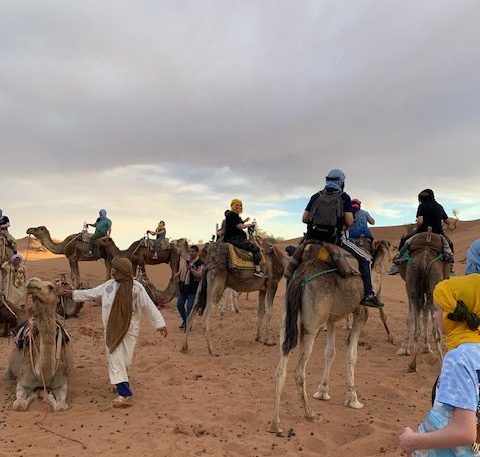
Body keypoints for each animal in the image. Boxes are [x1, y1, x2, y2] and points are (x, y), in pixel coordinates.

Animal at [3, 276, 72, 412]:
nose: (31, 281)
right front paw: (37, 393)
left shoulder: (62, 382)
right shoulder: (22, 382)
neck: (44, 375)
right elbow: (19, 404)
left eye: (51, 286)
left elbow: (61, 406)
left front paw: (44, 393)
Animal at [268, 239, 396, 434]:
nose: (400, 253)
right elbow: (352, 356)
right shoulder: (361, 312)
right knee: (299, 371)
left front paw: (322, 392)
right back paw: (310, 414)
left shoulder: (331, 318)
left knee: (280, 369)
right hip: (312, 325)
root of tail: (298, 279)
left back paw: (276, 424)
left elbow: (330, 353)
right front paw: (353, 399)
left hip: (287, 321)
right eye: (394, 248)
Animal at [396, 232, 448, 370]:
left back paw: (413, 364)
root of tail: (424, 258)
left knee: (419, 324)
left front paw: (404, 348)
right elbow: (424, 316)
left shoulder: (410, 290)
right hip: (430, 288)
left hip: (415, 287)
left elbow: (414, 317)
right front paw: (425, 347)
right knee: (434, 329)